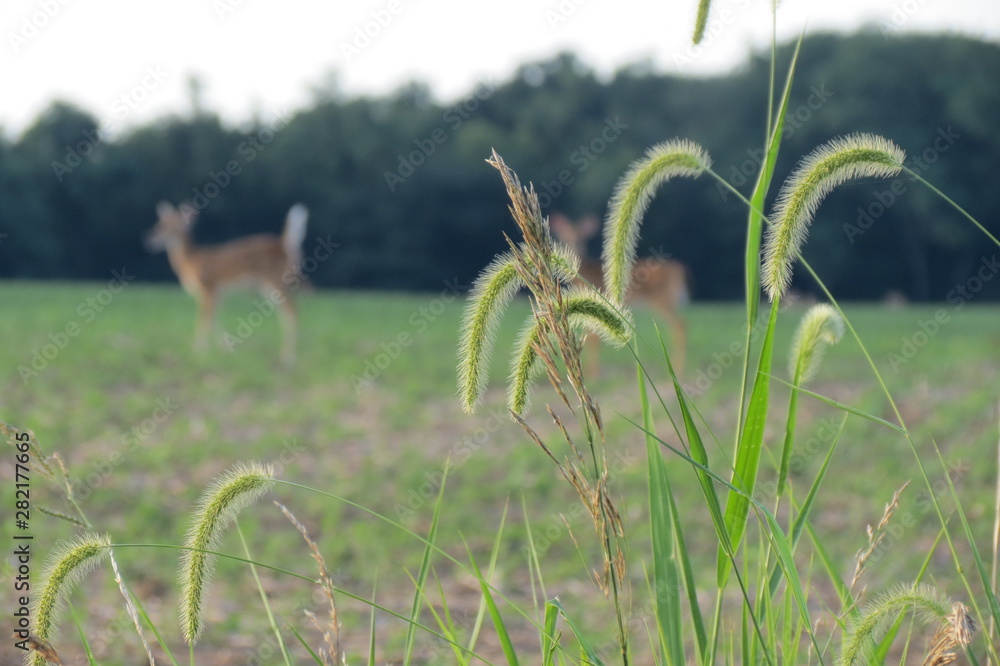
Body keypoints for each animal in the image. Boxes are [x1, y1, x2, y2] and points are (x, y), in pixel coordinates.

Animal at [145, 201, 308, 366]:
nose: (150, 239)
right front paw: (225, 349)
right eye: (160, 223)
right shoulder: (217, 294)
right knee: (287, 313)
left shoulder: (208, 288)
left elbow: (204, 319)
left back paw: (288, 359)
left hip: (274, 280)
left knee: (292, 312)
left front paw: (199, 351)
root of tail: (284, 244)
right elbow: (214, 319)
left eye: (169, 226)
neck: (190, 262)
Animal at [549, 212, 689, 375]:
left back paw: (678, 370)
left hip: (663, 300)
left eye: (581, 235)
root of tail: (680, 269)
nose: (575, 244)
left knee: (680, 325)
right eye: (565, 234)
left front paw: (593, 374)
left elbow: (594, 339)